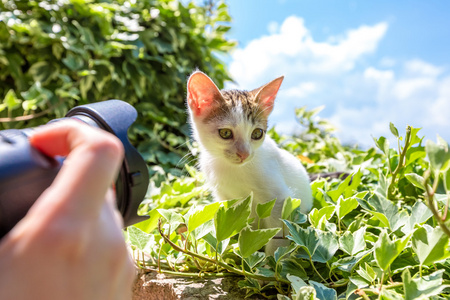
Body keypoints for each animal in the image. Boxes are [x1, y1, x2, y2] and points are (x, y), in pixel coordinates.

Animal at [186, 71, 312, 254]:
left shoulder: (280, 201)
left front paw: (270, 260)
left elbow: (278, 236)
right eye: (225, 133)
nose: (244, 154)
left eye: (257, 133)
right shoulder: (225, 199)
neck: (232, 169)